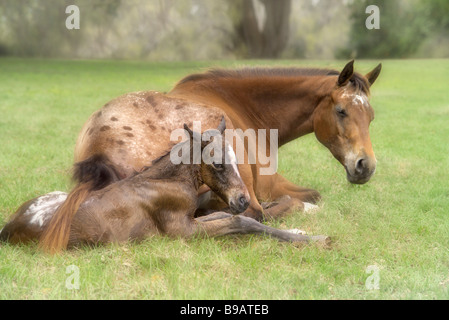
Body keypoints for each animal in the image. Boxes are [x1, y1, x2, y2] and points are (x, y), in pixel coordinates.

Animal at [0, 118, 328, 250]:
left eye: (237, 160)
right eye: (218, 164)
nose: (243, 200)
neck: (162, 182)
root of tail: (8, 228)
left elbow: (229, 216)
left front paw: (301, 231)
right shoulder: (185, 232)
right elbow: (242, 223)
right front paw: (314, 239)